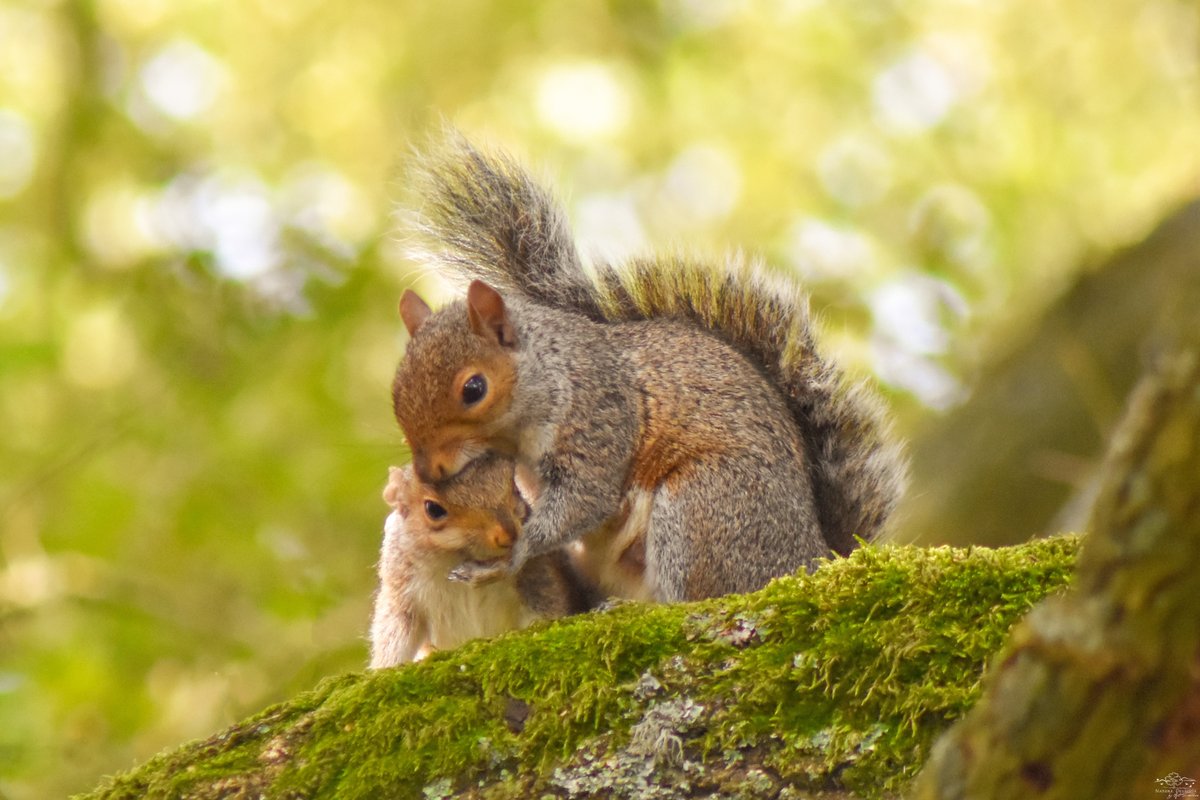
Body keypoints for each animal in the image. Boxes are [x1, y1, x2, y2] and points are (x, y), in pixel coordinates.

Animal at [368, 455, 598, 668]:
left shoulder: (536, 577)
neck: (457, 557)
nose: (508, 535)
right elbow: (394, 641)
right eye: (433, 509)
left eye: (515, 487)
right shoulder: (401, 594)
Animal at [390, 135, 907, 601]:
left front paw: (508, 558)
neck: (553, 371)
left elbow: (583, 499)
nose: (429, 471)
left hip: (701, 507)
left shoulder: (599, 416)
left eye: (474, 389)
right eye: (397, 395)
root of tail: (809, 559)